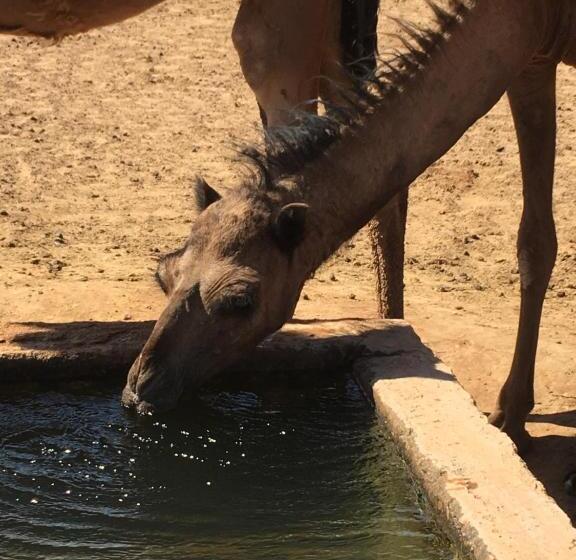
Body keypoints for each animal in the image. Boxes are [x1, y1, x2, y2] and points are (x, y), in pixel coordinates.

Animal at [124, 0, 572, 456]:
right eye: (163, 275)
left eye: (241, 300)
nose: (141, 389)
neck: (531, 13)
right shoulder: (532, 60)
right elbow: (535, 242)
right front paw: (511, 419)